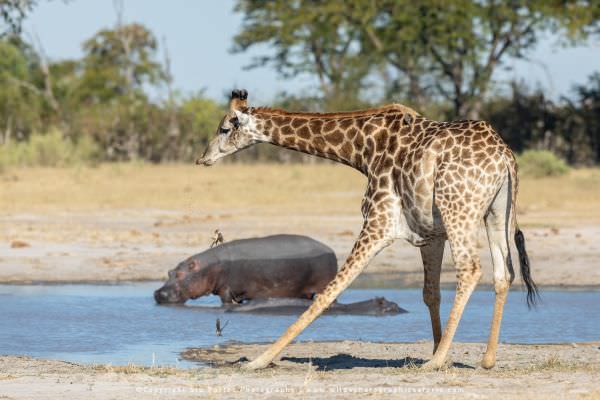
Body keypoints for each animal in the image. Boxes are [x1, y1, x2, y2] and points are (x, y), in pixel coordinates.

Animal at [155, 234, 338, 304]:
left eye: (180, 274)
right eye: (169, 272)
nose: (157, 293)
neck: (209, 267)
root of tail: (330, 249)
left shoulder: (226, 291)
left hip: (326, 286)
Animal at [197, 89, 540, 370]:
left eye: (225, 128)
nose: (203, 158)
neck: (362, 149)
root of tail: (504, 157)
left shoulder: (378, 222)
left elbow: (328, 293)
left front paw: (258, 360)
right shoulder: (431, 234)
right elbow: (430, 293)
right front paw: (438, 351)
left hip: (460, 210)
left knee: (470, 269)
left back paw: (439, 362)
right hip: (495, 213)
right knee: (503, 273)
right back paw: (487, 359)